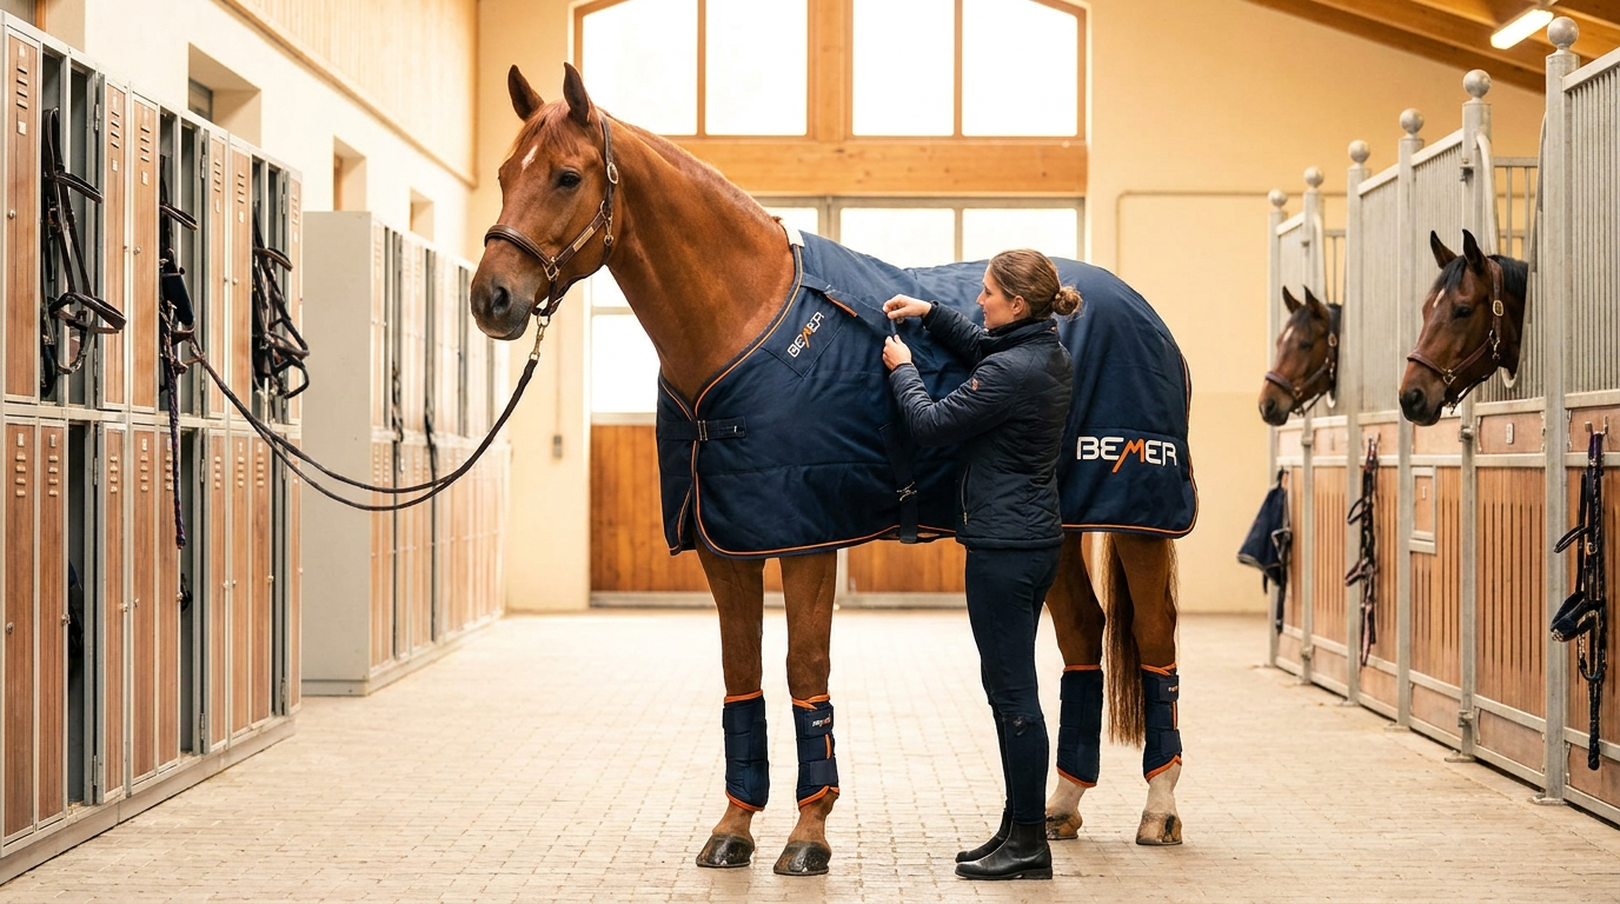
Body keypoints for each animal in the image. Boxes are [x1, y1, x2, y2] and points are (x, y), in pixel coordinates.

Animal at [469, 63, 1189, 877]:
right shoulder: (726, 544)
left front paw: (808, 835)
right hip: (1056, 526)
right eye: (504, 174)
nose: (492, 298)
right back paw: (1061, 807)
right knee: (1081, 637)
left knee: (1157, 644)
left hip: (1140, 521)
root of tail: (1138, 308)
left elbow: (804, 673)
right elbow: (742, 680)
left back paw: (1159, 809)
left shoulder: (807, 539)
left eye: (566, 176)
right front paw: (734, 828)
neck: (743, 321)